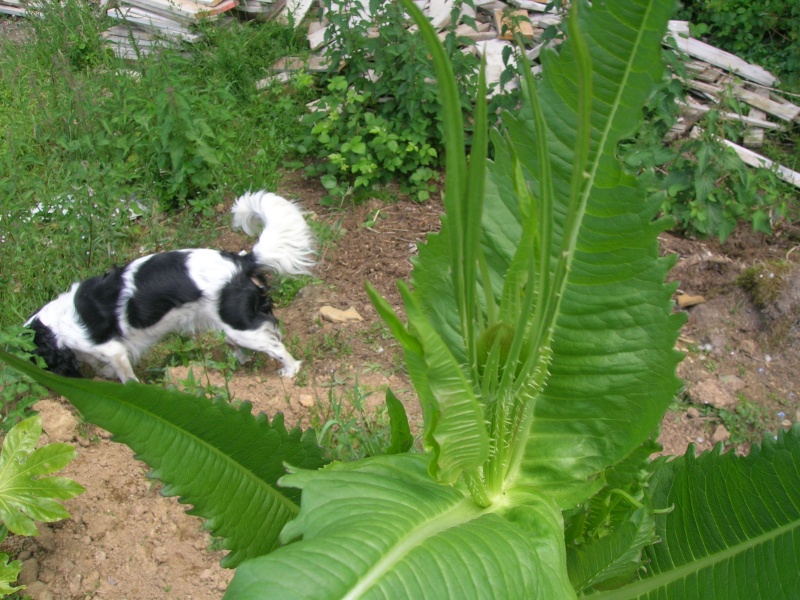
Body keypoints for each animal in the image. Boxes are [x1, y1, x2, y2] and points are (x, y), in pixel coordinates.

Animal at [22, 190, 316, 382]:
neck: (55, 326)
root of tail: (241, 260)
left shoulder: (112, 350)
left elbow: (126, 376)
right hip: (230, 327)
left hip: (242, 327)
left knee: (276, 347)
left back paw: (290, 371)